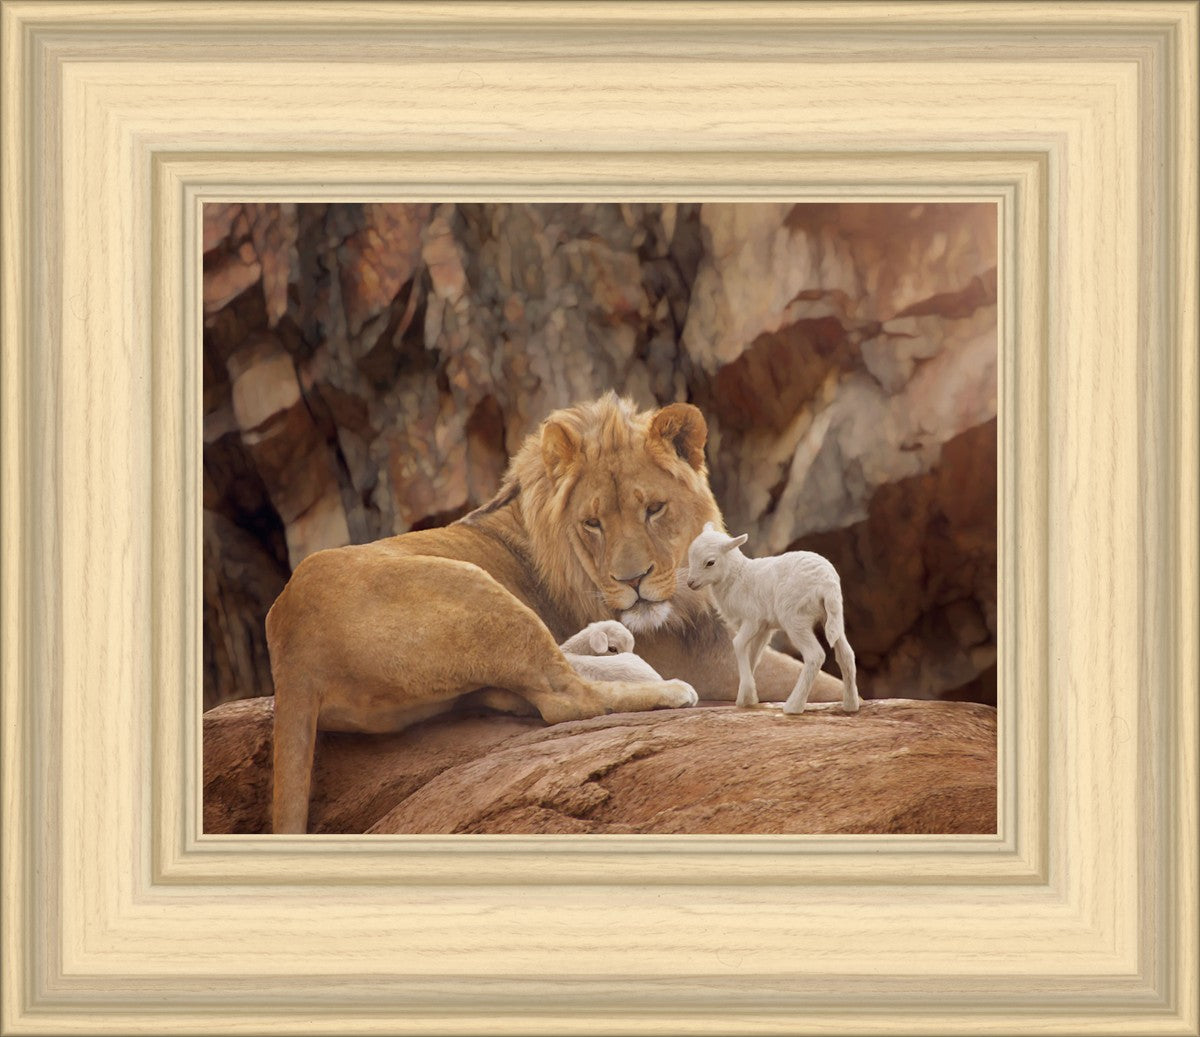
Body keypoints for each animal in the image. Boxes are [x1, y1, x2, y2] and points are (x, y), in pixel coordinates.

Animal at [685, 523, 859, 715]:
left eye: (710, 562)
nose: (690, 583)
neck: (737, 577)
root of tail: (827, 583)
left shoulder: (752, 619)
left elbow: (738, 644)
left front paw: (746, 695)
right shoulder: (764, 628)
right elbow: (753, 655)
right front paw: (747, 697)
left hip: (795, 617)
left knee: (815, 656)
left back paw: (793, 706)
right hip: (833, 616)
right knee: (846, 654)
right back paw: (850, 705)